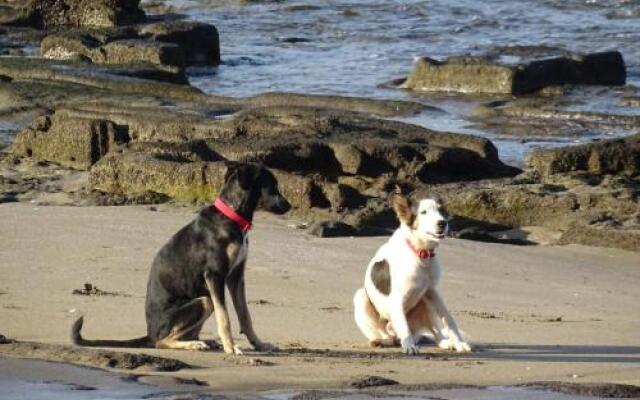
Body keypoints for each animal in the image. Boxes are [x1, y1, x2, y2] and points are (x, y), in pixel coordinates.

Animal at [72, 161, 290, 354]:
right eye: (273, 186)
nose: (289, 206)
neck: (232, 216)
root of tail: (150, 333)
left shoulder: (236, 277)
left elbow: (245, 315)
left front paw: (259, 344)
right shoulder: (215, 275)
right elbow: (225, 317)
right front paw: (231, 347)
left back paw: (205, 342)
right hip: (204, 301)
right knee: (162, 342)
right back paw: (195, 344)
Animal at [352, 191, 472, 354]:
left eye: (441, 211)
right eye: (423, 212)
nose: (442, 223)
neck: (420, 253)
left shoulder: (432, 290)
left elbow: (448, 319)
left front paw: (459, 343)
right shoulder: (397, 298)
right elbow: (404, 326)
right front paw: (409, 346)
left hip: (425, 301)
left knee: (435, 332)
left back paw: (445, 342)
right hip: (361, 298)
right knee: (390, 335)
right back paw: (382, 342)